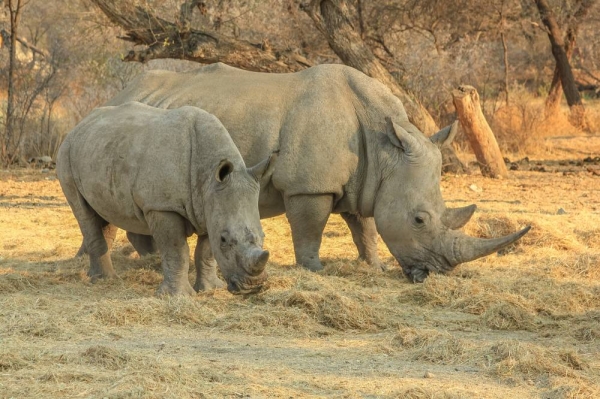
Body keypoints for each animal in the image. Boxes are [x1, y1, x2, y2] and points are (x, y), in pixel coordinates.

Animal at [57, 101, 274, 296]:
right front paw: (177, 296)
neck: (209, 177)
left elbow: (205, 252)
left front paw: (211, 289)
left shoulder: (209, 206)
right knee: (84, 214)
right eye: (224, 239)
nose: (252, 287)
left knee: (105, 213)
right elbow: (177, 250)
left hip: (101, 150)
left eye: (263, 236)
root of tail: (80, 125)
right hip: (66, 152)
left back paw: (105, 277)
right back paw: (103, 280)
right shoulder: (162, 206)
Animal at [104, 64, 528, 284]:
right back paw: (149, 260)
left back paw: (147, 258)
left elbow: (365, 228)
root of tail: (119, 92)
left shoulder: (367, 182)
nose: (437, 274)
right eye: (420, 220)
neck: (386, 147)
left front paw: (373, 267)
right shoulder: (309, 187)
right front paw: (314, 270)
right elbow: (311, 229)